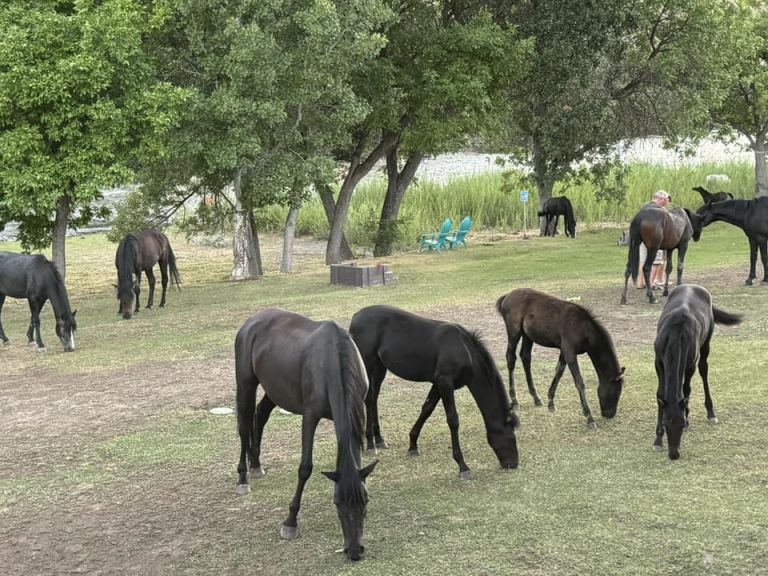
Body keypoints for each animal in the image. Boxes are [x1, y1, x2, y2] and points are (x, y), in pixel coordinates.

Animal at [234, 308, 376, 562]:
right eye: (336, 502)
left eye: (365, 500)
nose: (354, 551)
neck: (334, 360)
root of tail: (252, 322)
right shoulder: (310, 416)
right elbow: (305, 468)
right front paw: (290, 522)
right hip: (245, 383)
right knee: (244, 425)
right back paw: (243, 478)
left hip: (275, 388)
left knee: (261, 415)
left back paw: (256, 464)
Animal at [349, 305, 519, 479]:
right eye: (510, 436)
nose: (513, 463)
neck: (464, 351)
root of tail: (357, 316)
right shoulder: (445, 383)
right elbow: (453, 420)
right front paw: (462, 465)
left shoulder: (437, 384)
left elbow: (426, 410)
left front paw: (413, 445)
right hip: (367, 363)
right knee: (368, 399)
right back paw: (370, 444)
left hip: (380, 366)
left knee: (374, 398)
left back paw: (379, 439)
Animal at [496, 288, 625, 429]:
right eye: (615, 392)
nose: (609, 415)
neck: (582, 328)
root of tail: (507, 296)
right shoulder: (570, 353)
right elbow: (579, 382)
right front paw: (589, 418)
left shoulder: (564, 351)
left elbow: (559, 371)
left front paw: (551, 402)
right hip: (514, 332)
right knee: (511, 359)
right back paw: (515, 401)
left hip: (527, 335)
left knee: (525, 357)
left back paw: (536, 398)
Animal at [653, 285, 742, 460]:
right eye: (666, 424)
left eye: (681, 424)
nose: (674, 454)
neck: (676, 333)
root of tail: (692, 286)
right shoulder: (658, 362)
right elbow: (661, 395)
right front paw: (658, 440)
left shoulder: (690, 365)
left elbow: (686, 389)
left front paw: (688, 417)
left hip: (706, 342)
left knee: (704, 370)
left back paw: (711, 413)